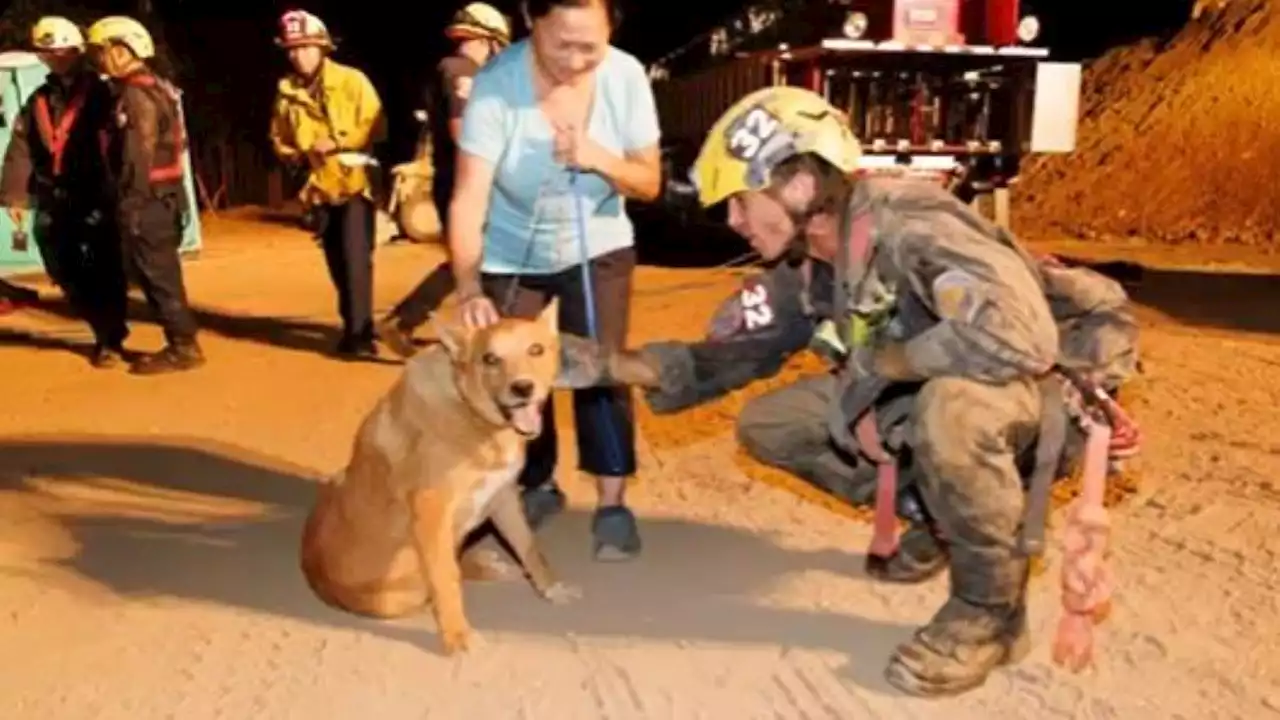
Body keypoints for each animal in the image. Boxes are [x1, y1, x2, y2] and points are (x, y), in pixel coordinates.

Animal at [299, 297, 586, 650]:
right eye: (490, 359)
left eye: (536, 349)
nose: (522, 388)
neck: (471, 412)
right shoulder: (432, 512)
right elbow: (446, 579)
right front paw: (457, 635)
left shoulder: (503, 496)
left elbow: (530, 548)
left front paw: (550, 587)